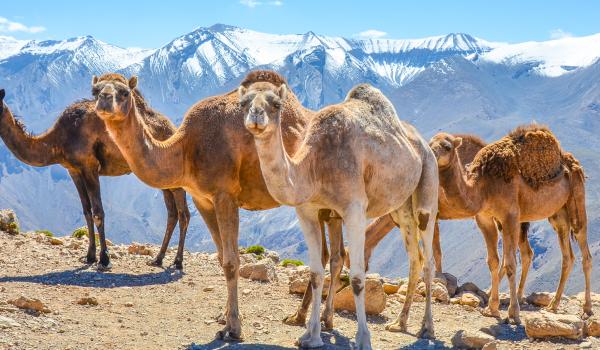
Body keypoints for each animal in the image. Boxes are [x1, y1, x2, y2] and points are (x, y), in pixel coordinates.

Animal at [0, 85, 190, 270]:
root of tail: (173, 128)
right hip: (162, 178)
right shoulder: (74, 171)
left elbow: (98, 213)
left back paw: (178, 262)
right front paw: (89, 256)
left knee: (183, 214)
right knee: (172, 214)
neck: (58, 140)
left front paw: (104, 260)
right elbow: (87, 211)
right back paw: (158, 259)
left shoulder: (90, 166)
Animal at [92, 69, 356, 340]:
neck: (186, 148)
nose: (104, 100)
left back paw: (323, 320)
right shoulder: (202, 199)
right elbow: (221, 257)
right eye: (95, 90)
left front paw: (234, 327)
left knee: (335, 256)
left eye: (124, 92)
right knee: (330, 254)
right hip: (317, 205)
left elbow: (232, 261)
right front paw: (224, 317)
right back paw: (303, 317)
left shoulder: (225, 195)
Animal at [239, 81, 440, 348]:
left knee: (428, 259)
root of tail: (425, 145)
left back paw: (427, 328)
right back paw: (400, 323)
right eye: (243, 103)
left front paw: (363, 339)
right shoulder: (308, 212)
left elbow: (356, 277)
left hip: (428, 186)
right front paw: (311, 335)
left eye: (276, 104)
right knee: (414, 258)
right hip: (401, 208)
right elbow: (316, 272)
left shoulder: (354, 209)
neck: (315, 167)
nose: (256, 116)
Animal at [428, 127, 592, 324]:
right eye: (429, 143)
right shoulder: (485, 219)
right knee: (567, 256)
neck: (483, 186)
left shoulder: (510, 217)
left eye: (447, 146)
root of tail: (571, 161)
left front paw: (513, 313)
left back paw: (587, 309)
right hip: (558, 214)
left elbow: (510, 264)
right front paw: (492, 309)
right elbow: (493, 261)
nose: (430, 154)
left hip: (576, 199)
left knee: (584, 252)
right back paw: (553, 304)